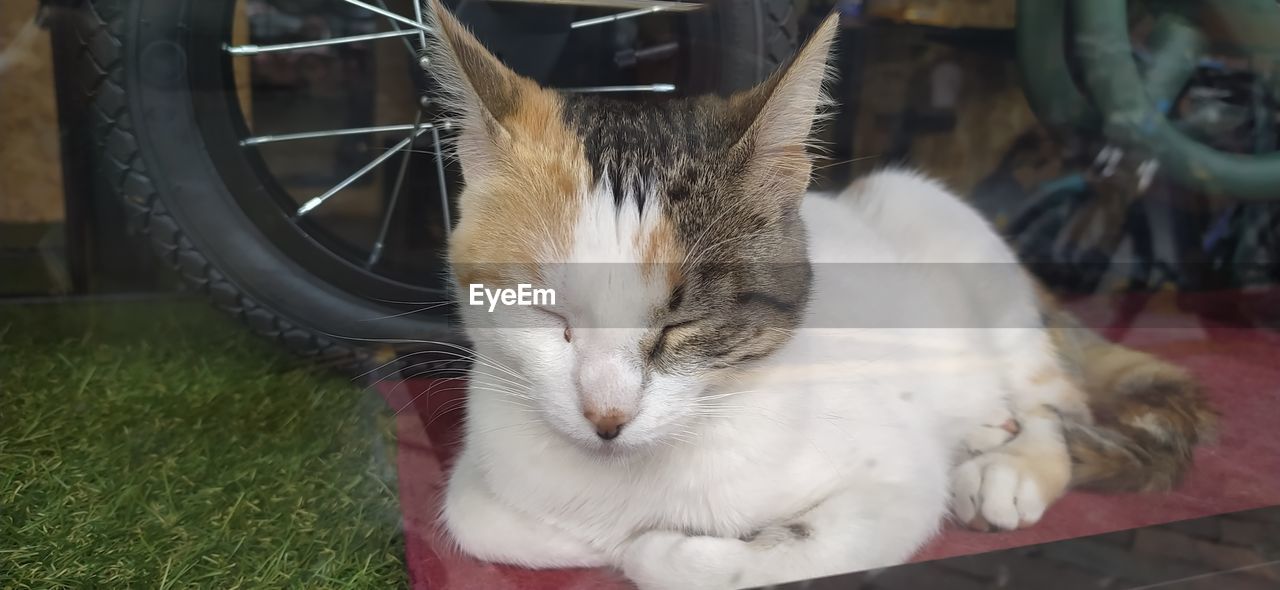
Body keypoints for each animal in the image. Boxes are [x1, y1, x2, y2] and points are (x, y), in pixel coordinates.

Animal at [424, 2, 1213, 586]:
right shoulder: (484, 469)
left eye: (684, 321)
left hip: (961, 252)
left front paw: (658, 546)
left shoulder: (895, 488)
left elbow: (701, 557)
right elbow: (480, 519)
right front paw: (597, 541)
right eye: (545, 309)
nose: (606, 418)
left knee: (1054, 401)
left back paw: (1008, 460)